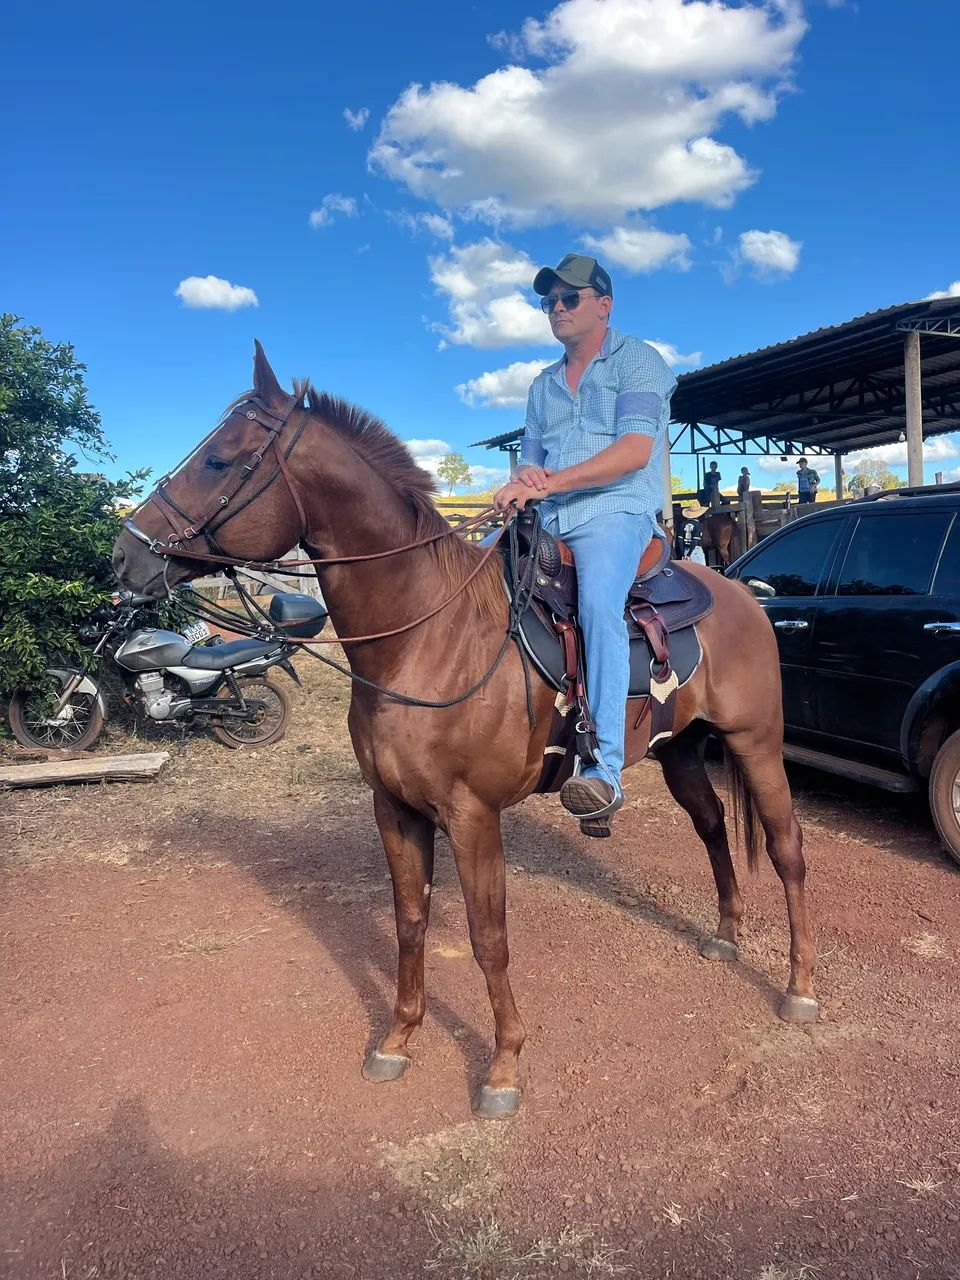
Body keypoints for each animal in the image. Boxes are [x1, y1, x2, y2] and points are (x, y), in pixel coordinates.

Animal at [112, 343, 818, 1119]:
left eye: (218, 461)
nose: (123, 556)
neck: (426, 635)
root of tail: (740, 591)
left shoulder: (473, 815)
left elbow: (488, 937)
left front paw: (504, 1066)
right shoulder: (395, 808)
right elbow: (409, 921)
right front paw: (398, 1037)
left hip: (756, 744)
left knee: (786, 849)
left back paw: (799, 988)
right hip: (682, 753)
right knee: (715, 827)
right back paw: (724, 937)